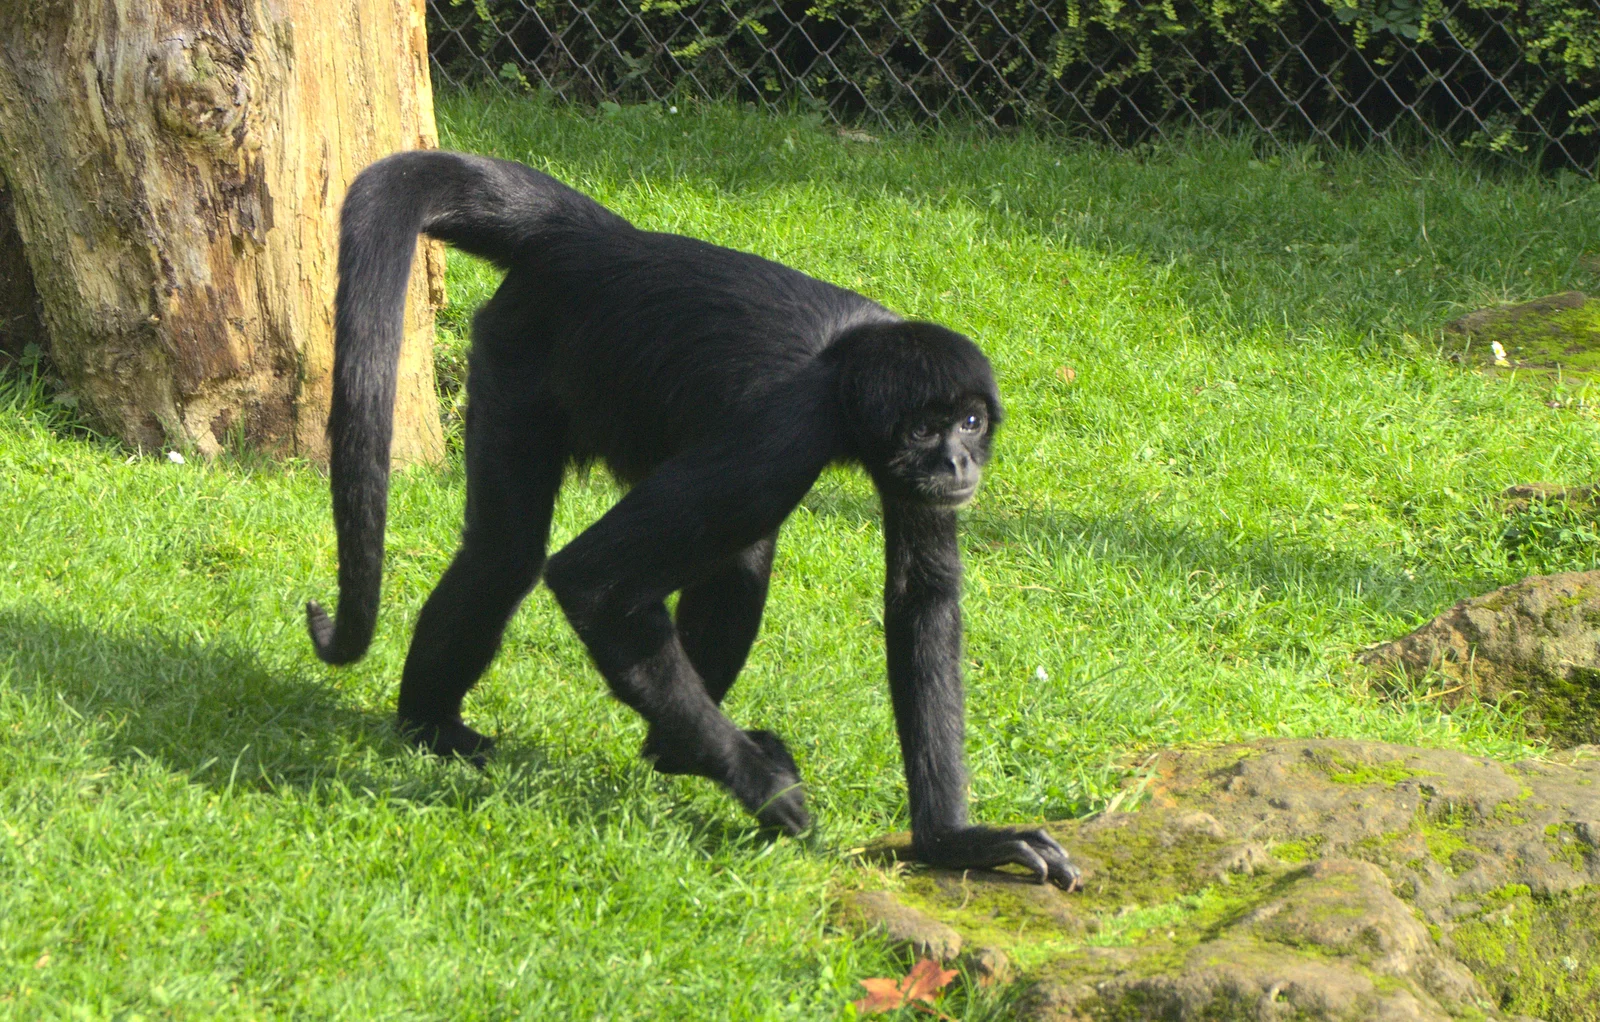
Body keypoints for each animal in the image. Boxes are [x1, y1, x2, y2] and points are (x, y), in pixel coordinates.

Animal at [305, 150, 1081, 889]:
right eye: (924, 431)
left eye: (970, 422)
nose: (956, 463)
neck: (845, 370)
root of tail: (592, 240)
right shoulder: (782, 434)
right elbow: (592, 579)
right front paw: (761, 785)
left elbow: (921, 601)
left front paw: (956, 842)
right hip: (524, 353)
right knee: (511, 554)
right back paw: (443, 727)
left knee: (709, 557)